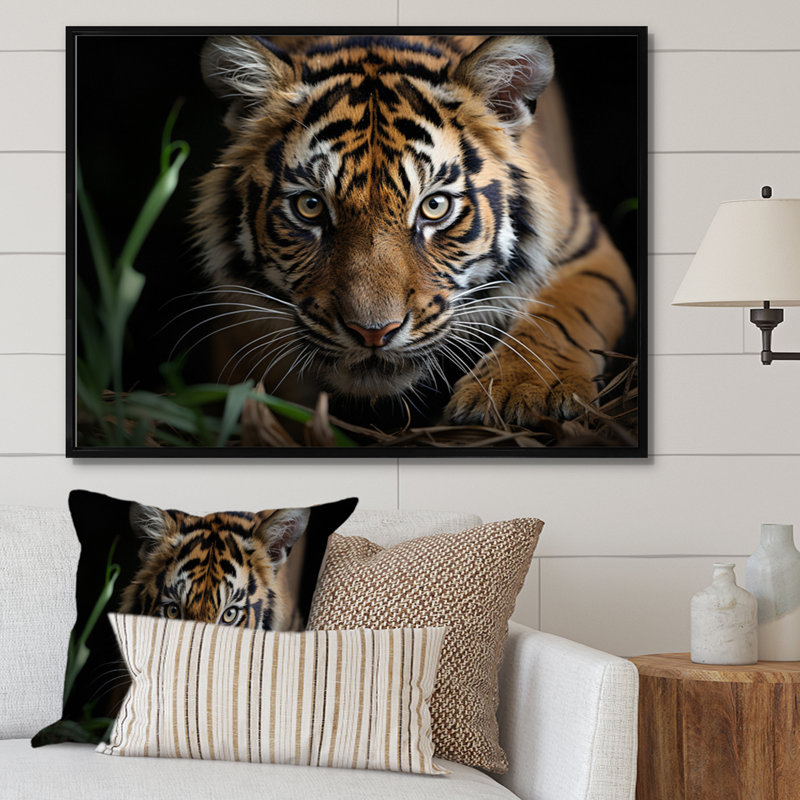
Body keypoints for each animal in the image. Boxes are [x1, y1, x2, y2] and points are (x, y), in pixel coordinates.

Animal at [191, 34, 636, 429]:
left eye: (434, 206)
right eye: (310, 206)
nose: (373, 334)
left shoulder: (586, 248)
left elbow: (560, 317)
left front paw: (522, 391)